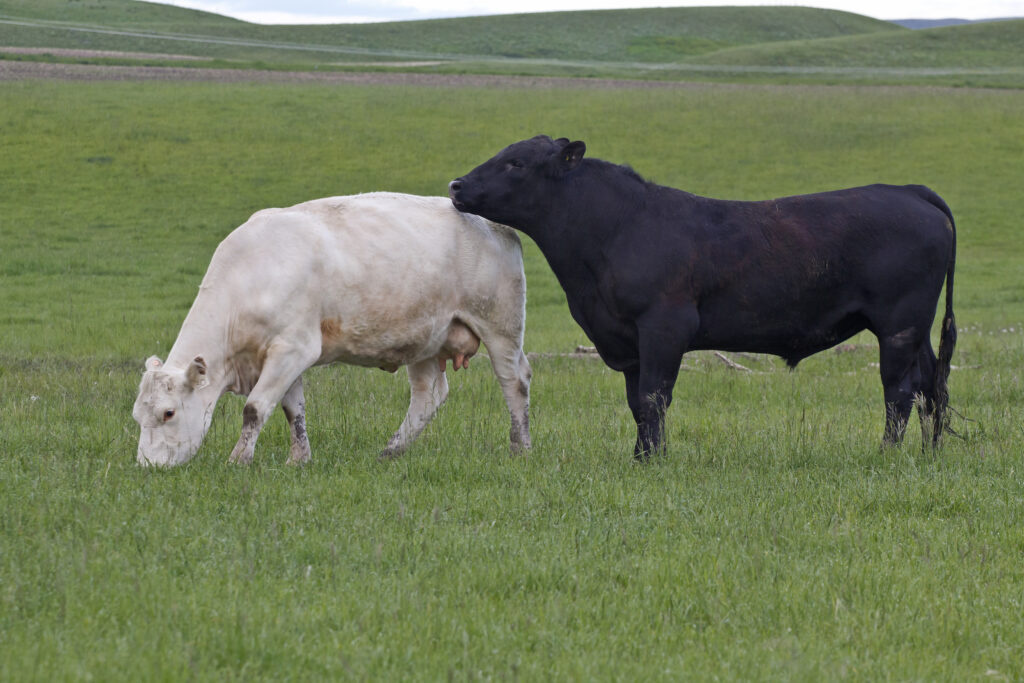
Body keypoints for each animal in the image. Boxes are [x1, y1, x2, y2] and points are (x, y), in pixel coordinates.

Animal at [132, 193, 532, 471]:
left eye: (168, 413)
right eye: (137, 416)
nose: (148, 467)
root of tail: (495, 225)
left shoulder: (294, 348)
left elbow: (254, 409)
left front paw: (238, 460)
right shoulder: (284, 355)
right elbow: (292, 410)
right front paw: (299, 459)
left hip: (500, 326)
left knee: (515, 381)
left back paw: (521, 447)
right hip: (425, 339)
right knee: (429, 396)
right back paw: (391, 450)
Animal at [452, 135, 954, 458]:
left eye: (517, 163)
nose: (457, 185)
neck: (616, 229)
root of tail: (910, 191)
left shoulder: (664, 326)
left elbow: (654, 397)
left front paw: (652, 460)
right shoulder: (626, 339)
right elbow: (637, 403)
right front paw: (641, 456)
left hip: (899, 323)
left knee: (899, 390)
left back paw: (888, 453)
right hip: (917, 328)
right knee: (932, 383)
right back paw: (931, 452)